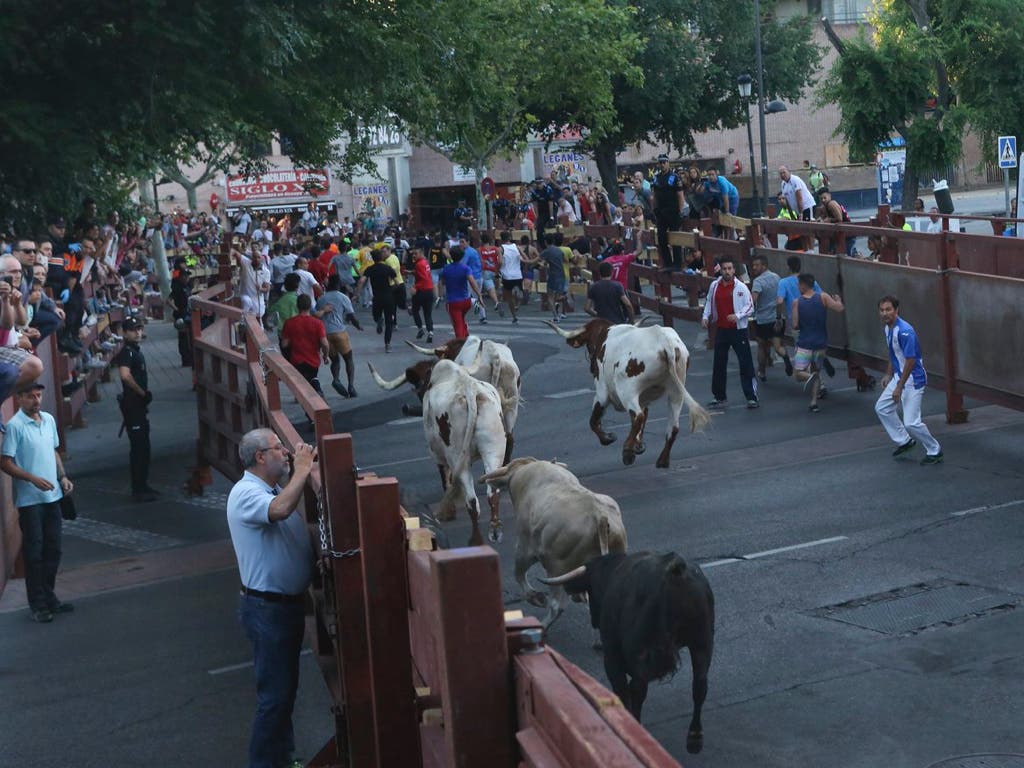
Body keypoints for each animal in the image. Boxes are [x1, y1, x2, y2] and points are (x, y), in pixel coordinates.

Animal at [419, 362, 507, 548]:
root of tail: (471, 389)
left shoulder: (439, 456)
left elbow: (446, 480)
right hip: (494, 449)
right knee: (492, 492)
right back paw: (495, 530)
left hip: (457, 455)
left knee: (472, 501)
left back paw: (476, 540)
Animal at [481, 456, 630, 630]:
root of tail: (599, 515)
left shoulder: (525, 547)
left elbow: (518, 573)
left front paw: (535, 597)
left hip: (556, 566)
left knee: (556, 605)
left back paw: (542, 626)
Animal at [540, 552, 716, 757]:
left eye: (591, 589)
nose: (594, 619)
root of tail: (675, 570)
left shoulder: (612, 655)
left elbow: (622, 689)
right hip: (702, 642)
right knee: (699, 685)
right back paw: (695, 738)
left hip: (643, 651)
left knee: (638, 689)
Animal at [544, 319, 712, 468]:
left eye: (590, 346)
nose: (592, 368)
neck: (605, 334)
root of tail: (664, 340)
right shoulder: (643, 398)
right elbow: (643, 419)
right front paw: (638, 444)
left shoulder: (602, 393)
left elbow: (593, 421)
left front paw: (608, 438)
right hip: (676, 390)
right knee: (672, 426)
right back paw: (662, 460)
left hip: (626, 390)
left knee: (638, 416)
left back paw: (627, 451)